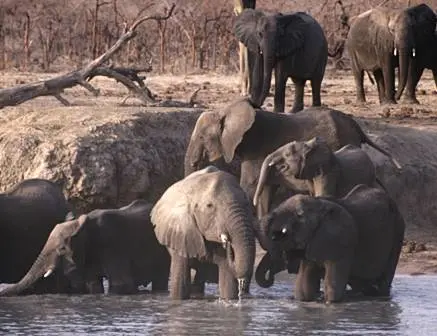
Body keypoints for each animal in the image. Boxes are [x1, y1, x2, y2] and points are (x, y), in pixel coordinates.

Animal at [152, 167, 258, 300]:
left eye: (247, 204)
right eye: (209, 206)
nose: (228, 243)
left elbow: (228, 284)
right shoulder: (181, 232)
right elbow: (180, 285)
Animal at [182, 97, 400, 220]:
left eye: (201, 137)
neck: (226, 110)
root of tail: (357, 126)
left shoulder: (256, 149)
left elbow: (250, 185)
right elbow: (265, 189)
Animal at [258, 185, 404, 304]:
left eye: (299, 215)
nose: (271, 278)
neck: (317, 203)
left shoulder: (340, 239)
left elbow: (332, 287)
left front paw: (329, 303)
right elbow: (303, 287)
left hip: (398, 231)